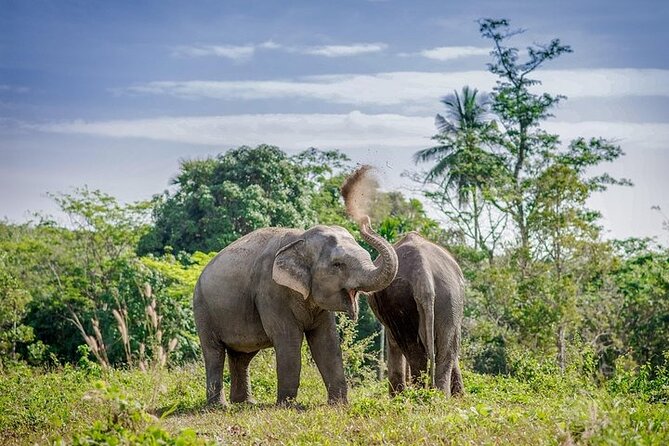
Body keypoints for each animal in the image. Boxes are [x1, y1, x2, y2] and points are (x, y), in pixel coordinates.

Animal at [193, 221, 398, 406]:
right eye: (338, 264)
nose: (366, 222)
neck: (301, 238)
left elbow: (327, 342)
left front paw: (339, 405)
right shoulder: (271, 291)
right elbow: (288, 339)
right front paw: (288, 406)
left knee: (242, 356)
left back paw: (246, 403)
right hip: (203, 310)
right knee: (214, 353)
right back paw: (220, 406)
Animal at [367, 232, 465, 396]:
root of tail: (423, 274)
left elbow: (393, 342)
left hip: (401, 300)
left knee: (415, 353)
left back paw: (418, 397)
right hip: (450, 298)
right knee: (445, 353)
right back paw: (438, 397)